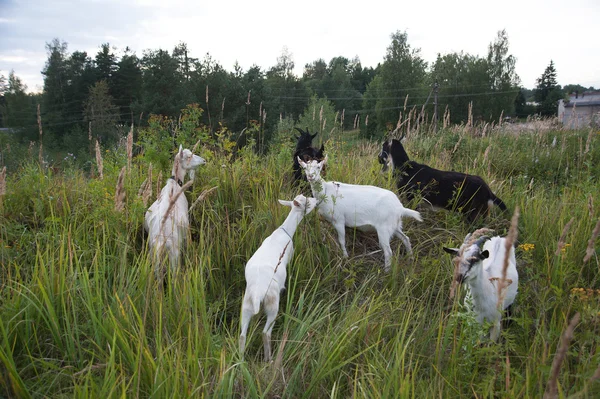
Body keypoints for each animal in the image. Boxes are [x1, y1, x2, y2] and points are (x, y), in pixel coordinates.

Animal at [144, 145, 206, 280]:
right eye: (189, 156)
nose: (204, 161)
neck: (175, 185)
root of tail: (162, 240)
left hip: (155, 259)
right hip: (174, 257)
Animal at [240, 194, 318, 362]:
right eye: (307, 202)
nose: (316, 200)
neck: (285, 230)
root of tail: (257, 294)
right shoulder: (290, 253)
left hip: (246, 305)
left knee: (242, 335)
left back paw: (240, 361)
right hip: (272, 304)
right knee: (265, 332)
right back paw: (269, 359)